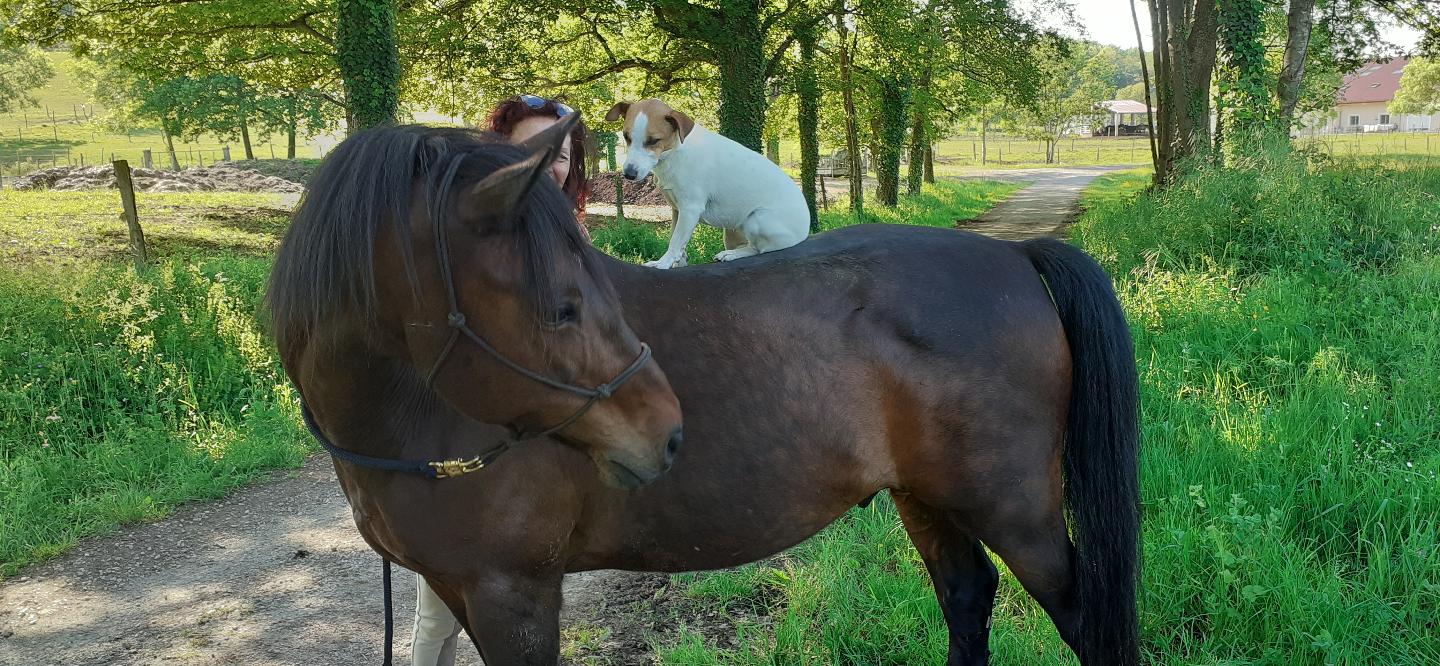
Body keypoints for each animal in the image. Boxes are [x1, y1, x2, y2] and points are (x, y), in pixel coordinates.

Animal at [267, 119, 1141, 665]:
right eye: (563, 305)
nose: (667, 433)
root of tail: (1014, 258)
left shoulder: (512, 596)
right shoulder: (449, 589)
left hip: (1016, 511)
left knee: (1082, 618)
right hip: (927, 496)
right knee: (967, 597)